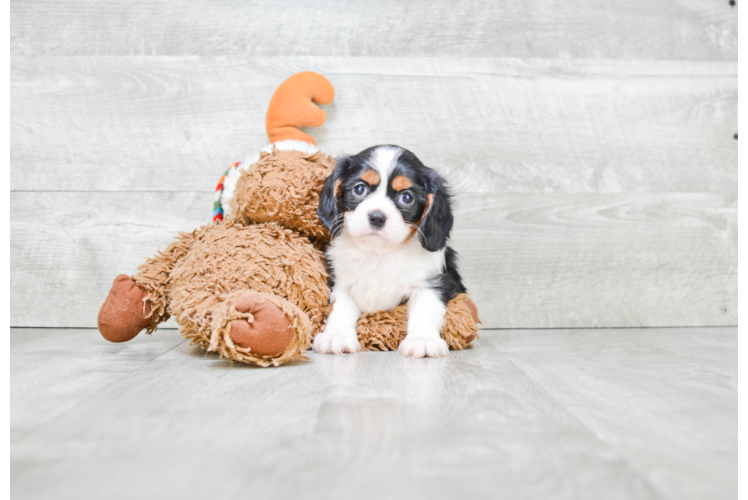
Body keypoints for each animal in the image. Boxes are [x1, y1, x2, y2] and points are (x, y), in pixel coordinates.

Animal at [312, 146, 464, 358]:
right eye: (360, 189)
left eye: (406, 198)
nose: (377, 217)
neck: (378, 252)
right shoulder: (342, 285)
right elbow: (340, 310)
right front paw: (336, 336)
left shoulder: (433, 283)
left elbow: (425, 310)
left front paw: (423, 340)